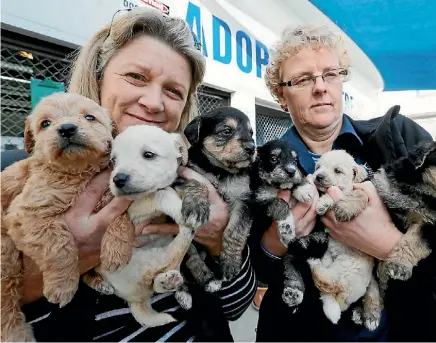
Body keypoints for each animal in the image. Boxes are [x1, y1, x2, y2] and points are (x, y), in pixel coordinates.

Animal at [1, 92, 133, 342]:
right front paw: (62, 286)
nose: (67, 128)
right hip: (6, 257)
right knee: (6, 299)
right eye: (45, 123)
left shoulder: (111, 195)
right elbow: (59, 245)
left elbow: (122, 217)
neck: (78, 172)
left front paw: (117, 251)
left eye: (89, 117)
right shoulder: (26, 214)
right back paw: (15, 333)